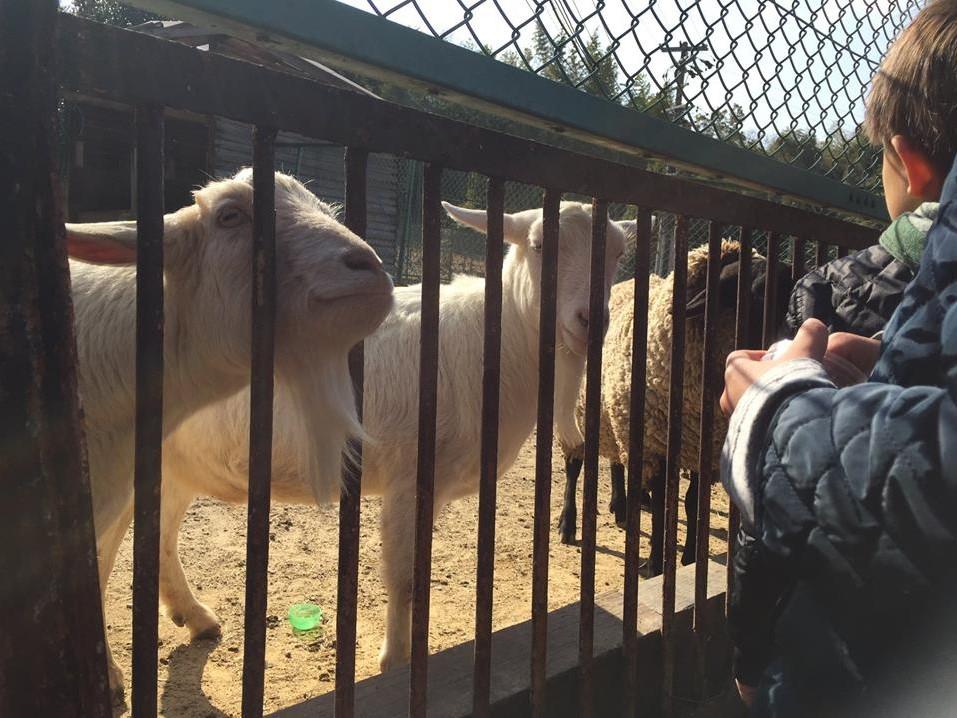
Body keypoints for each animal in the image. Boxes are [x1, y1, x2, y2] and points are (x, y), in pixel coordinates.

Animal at [156, 201, 632, 676]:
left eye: (618, 254)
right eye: (537, 246)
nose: (591, 320)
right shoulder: (411, 477)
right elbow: (406, 579)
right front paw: (397, 661)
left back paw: (194, 617)